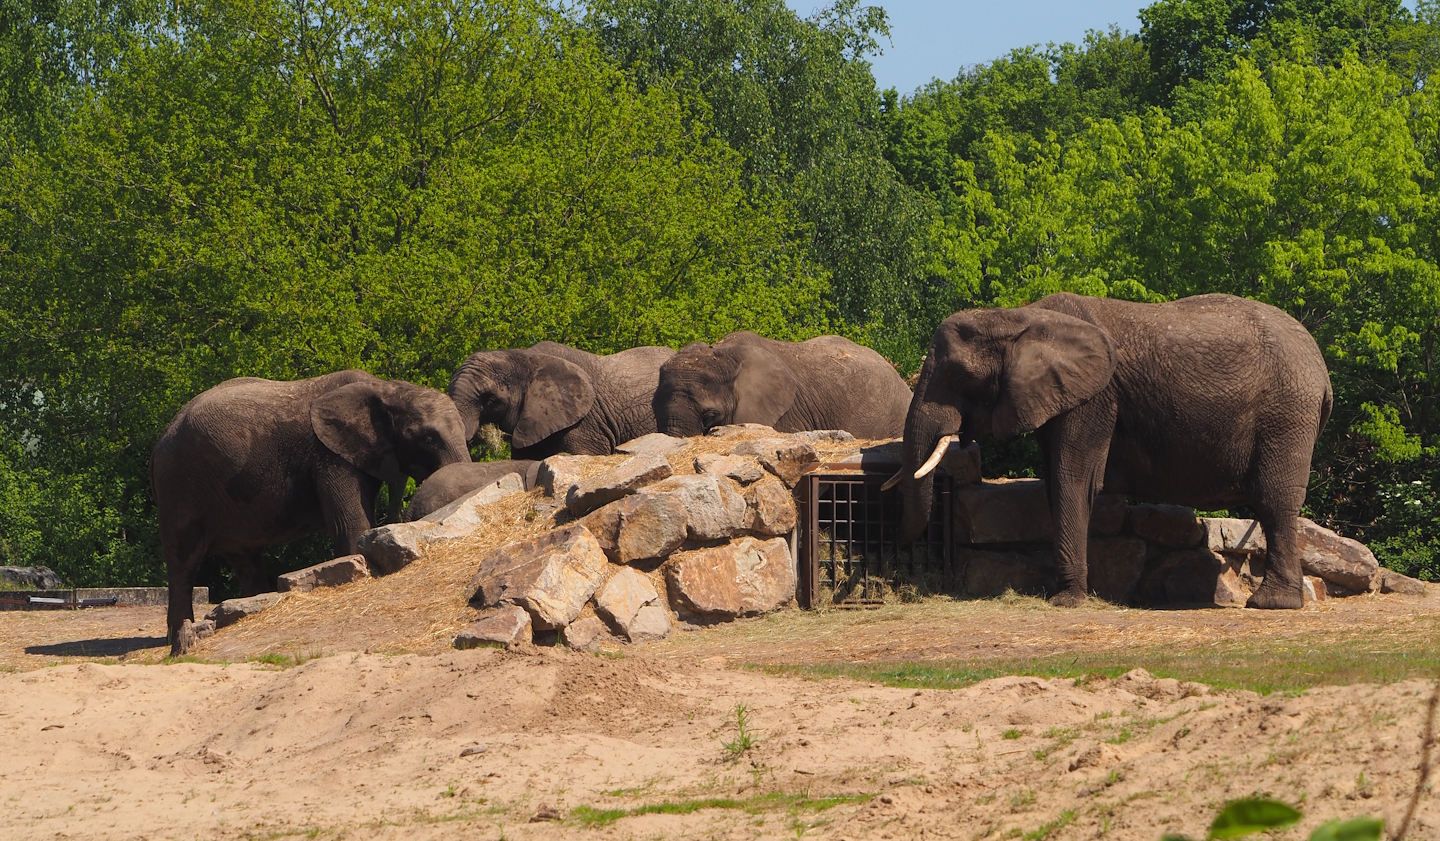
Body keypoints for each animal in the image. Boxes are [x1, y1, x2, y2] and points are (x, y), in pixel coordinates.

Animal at [152, 370, 469, 653]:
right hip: (178, 485)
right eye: (427, 439)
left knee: (245, 559)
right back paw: (177, 638)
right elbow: (351, 525)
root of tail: (164, 433)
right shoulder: (328, 455)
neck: (387, 388)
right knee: (183, 562)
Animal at [890, 292, 1332, 610]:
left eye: (960, 376)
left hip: (1287, 413)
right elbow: (1056, 481)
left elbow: (1073, 479)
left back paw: (1270, 604)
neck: (1021, 317)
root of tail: (1322, 369)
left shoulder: (1095, 399)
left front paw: (1066, 601)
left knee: (1274, 501)